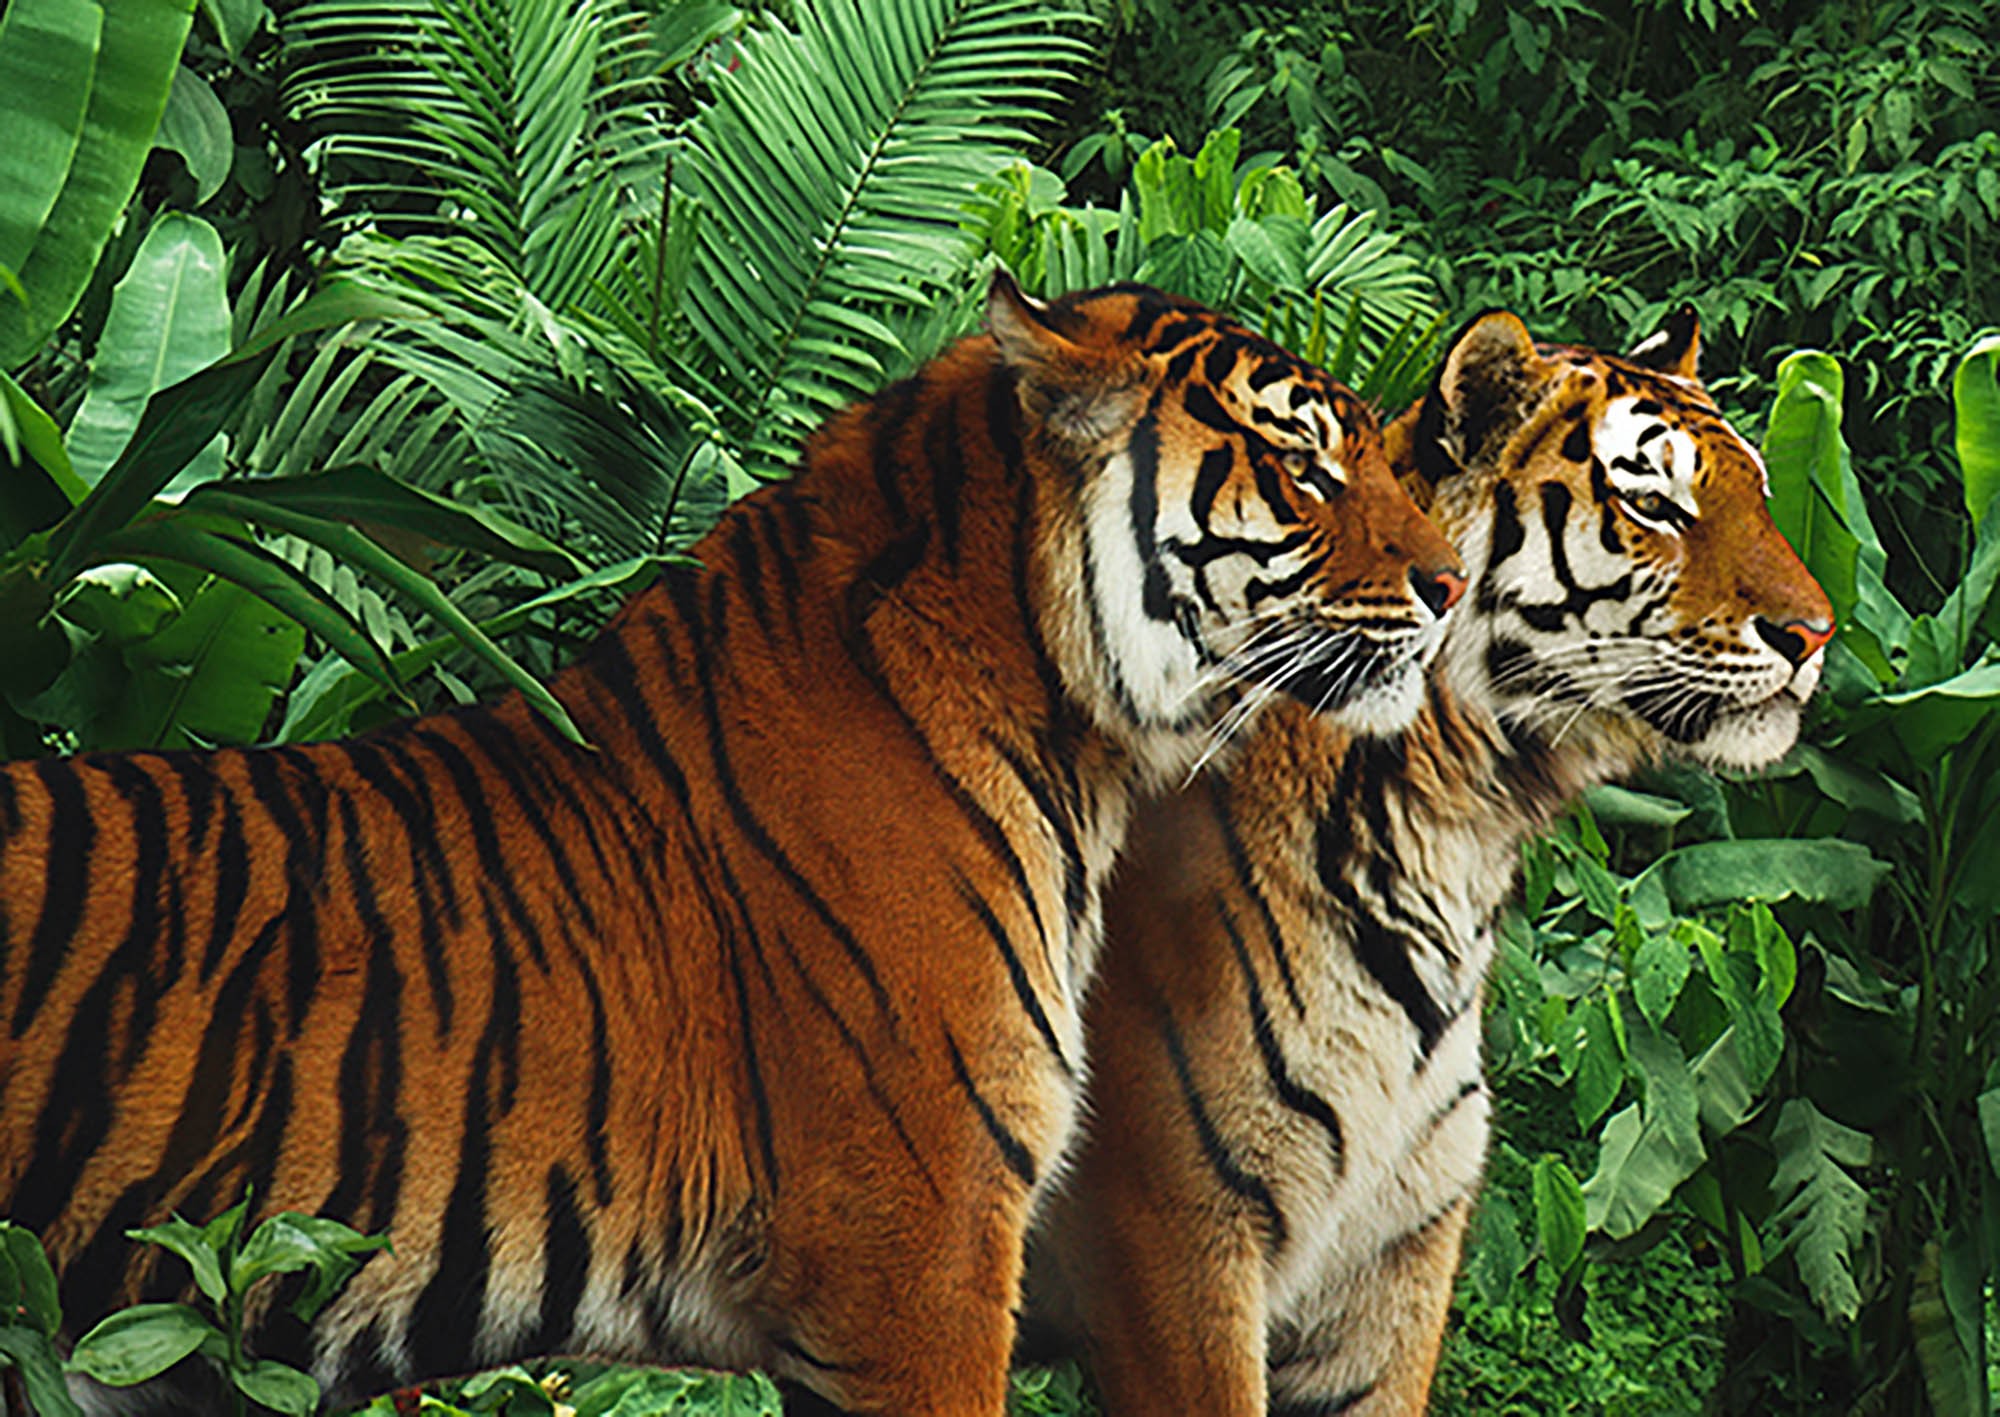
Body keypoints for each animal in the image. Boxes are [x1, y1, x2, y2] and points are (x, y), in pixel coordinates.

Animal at [1024, 306, 1834, 1415]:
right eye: (1653, 502)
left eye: (1759, 493)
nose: (1817, 634)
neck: (1456, 828)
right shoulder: (1177, 1237)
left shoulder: (1394, 1248)